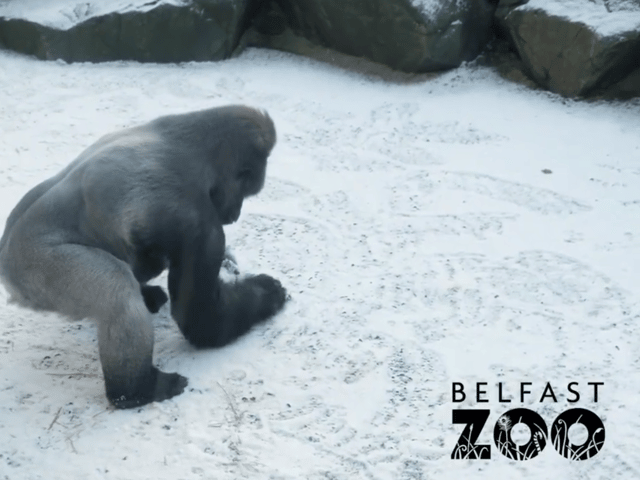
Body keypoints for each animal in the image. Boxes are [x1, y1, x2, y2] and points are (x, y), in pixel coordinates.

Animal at [0, 105, 288, 408]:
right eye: (244, 191)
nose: (235, 214)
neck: (189, 142)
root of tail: (5, 255)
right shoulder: (199, 223)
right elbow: (201, 321)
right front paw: (268, 294)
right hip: (30, 268)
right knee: (117, 291)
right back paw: (137, 390)